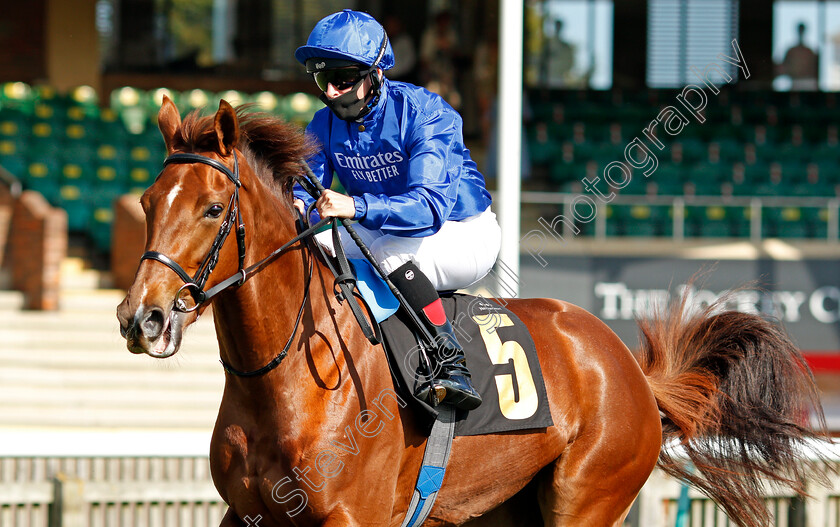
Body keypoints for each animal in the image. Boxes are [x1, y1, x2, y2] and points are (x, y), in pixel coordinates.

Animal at [116, 96, 828, 527]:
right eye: (148, 202)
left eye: (213, 209)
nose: (141, 318)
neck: (287, 379)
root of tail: (626, 365)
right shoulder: (247, 513)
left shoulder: (353, 516)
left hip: (586, 496)